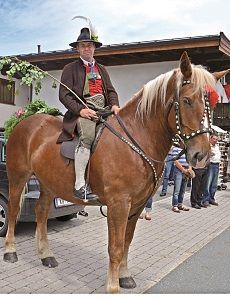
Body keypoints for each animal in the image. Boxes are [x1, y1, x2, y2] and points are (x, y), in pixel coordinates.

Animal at [3, 52, 226, 292]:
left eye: (212, 104)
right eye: (186, 101)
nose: (201, 155)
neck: (136, 138)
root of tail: (24, 123)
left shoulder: (137, 205)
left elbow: (126, 242)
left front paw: (124, 276)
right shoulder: (118, 204)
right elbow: (116, 247)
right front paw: (112, 287)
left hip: (48, 184)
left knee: (42, 212)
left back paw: (46, 255)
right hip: (17, 177)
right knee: (14, 211)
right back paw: (10, 252)